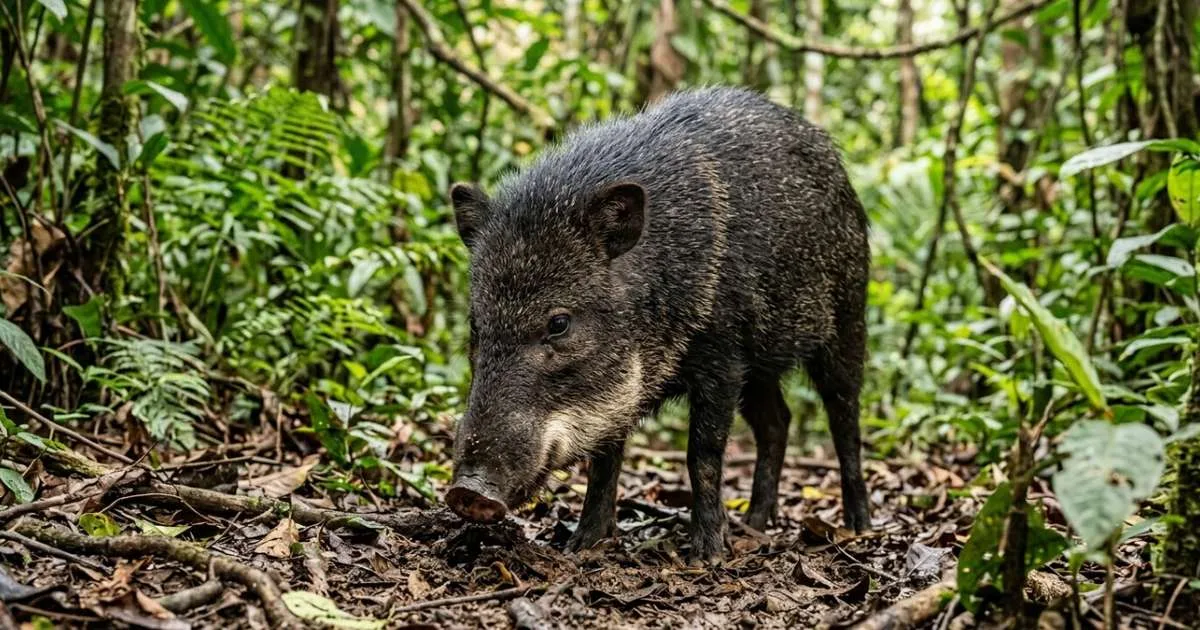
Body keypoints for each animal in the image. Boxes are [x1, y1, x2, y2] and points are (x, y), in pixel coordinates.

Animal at [444, 86, 870, 564]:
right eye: (476, 325)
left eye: (558, 324)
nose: (467, 493)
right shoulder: (626, 389)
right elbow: (605, 461)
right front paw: (582, 545)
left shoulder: (722, 360)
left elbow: (702, 455)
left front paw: (706, 555)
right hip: (760, 367)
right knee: (778, 422)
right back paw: (755, 525)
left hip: (847, 319)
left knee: (844, 418)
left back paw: (859, 527)